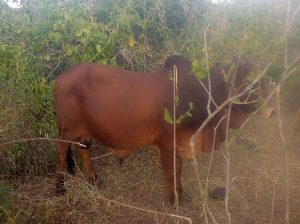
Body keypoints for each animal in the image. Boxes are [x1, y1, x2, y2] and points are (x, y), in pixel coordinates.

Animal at [52, 54, 274, 203]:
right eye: (249, 82)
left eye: (264, 80)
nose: (271, 111)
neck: (199, 92)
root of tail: (59, 78)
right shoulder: (166, 143)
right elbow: (170, 171)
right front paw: (171, 200)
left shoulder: (181, 142)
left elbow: (178, 169)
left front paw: (181, 194)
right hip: (66, 128)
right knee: (61, 152)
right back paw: (60, 188)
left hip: (85, 131)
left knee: (83, 149)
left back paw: (95, 181)